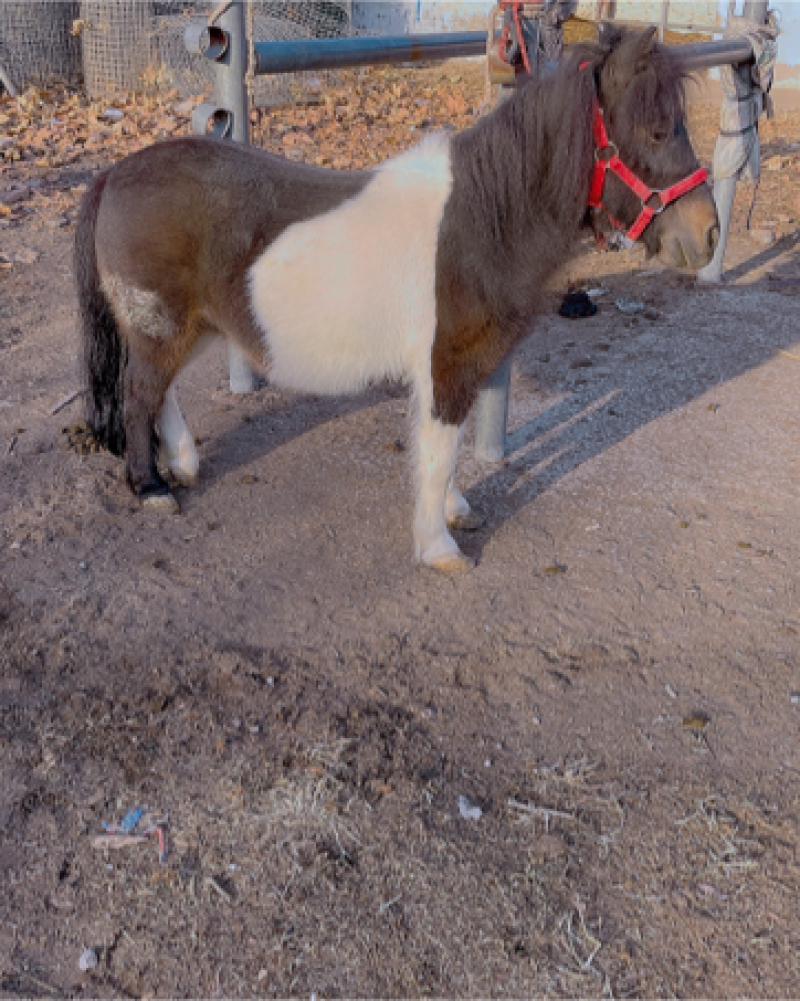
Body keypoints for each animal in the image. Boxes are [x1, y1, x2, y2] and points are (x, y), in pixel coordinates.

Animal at [75, 26, 718, 574]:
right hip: (161, 325)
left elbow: (447, 448)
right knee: (139, 394)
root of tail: (114, 174)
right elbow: (437, 452)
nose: (709, 234)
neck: (483, 218)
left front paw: (456, 510)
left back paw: (182, 463)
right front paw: (438, 546)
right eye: (657, 130)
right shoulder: (447, 366)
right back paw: (152, 487)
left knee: (158, 391)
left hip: (183, 327)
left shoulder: (456, 371)